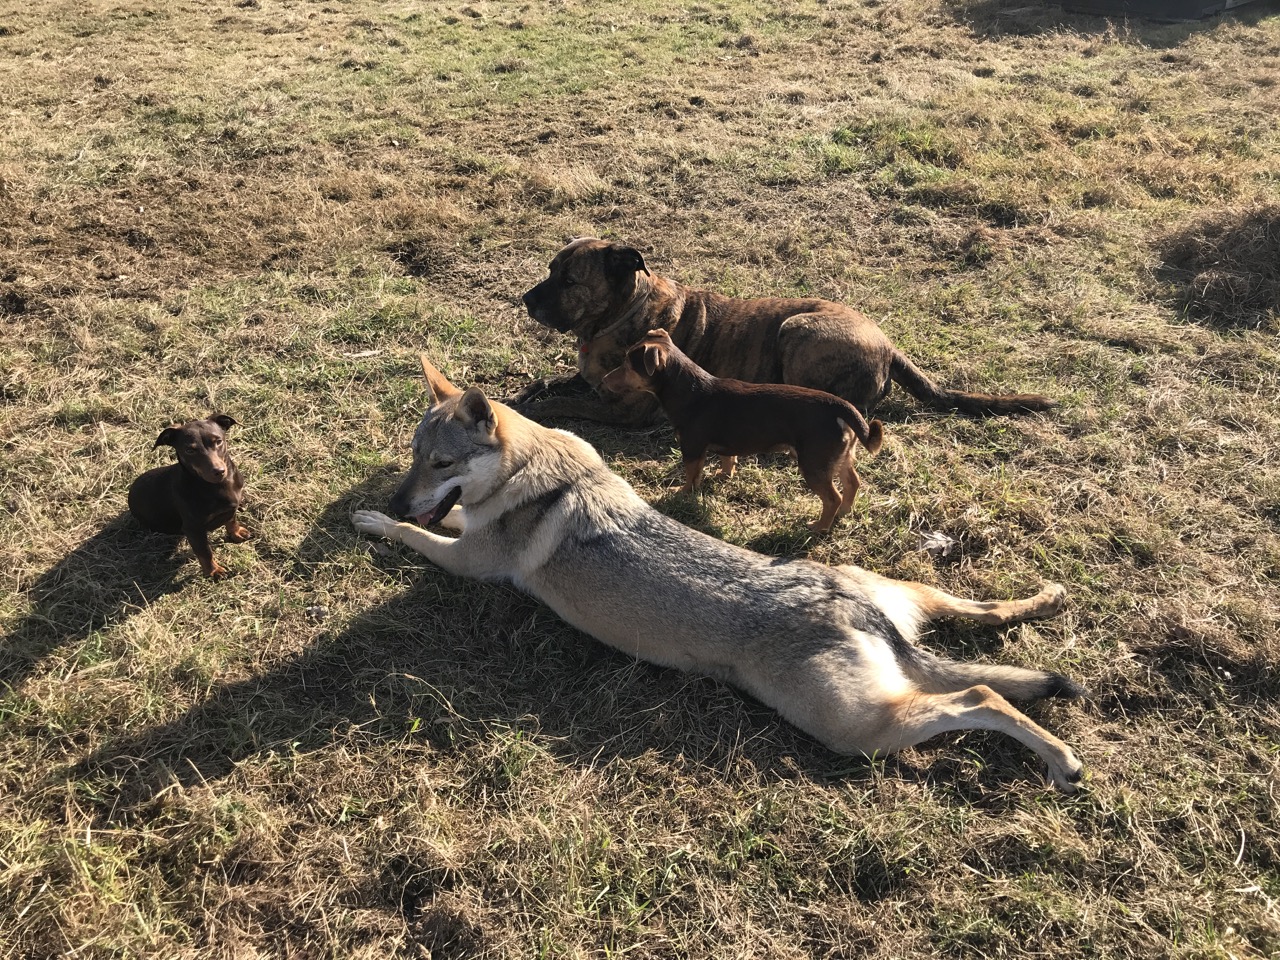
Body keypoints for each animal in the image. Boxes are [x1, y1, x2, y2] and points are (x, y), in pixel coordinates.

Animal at [127, 414, 249, 578]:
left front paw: (236, 532)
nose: (219, 471)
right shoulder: (193, 529)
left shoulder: (230, 508)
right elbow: (205, 552)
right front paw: (213, 571)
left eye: (218, 441)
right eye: (189, 450)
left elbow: (231, 519)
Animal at [514, 236, 1054, 424]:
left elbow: (565, 406)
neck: (622, 312)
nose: (526, 299)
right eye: (550, 269)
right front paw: (526, 391)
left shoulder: (628, 412)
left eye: (569, 280)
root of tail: (888, 345)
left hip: (798, 328)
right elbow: (549, 384)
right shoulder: (585, 376)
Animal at [604, 332, 885, 535]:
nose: (604, 380)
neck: (689, 390)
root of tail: (840, 406)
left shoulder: (692, 448)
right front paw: (723, 476)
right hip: (840, 457)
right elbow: (728, 460)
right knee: (852, 483)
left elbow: (691, 476)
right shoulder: (725, 445)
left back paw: (819, 527)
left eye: (627, 365)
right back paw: (844, 513)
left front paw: (683, 494)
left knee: (832, 498)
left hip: (814, 464)